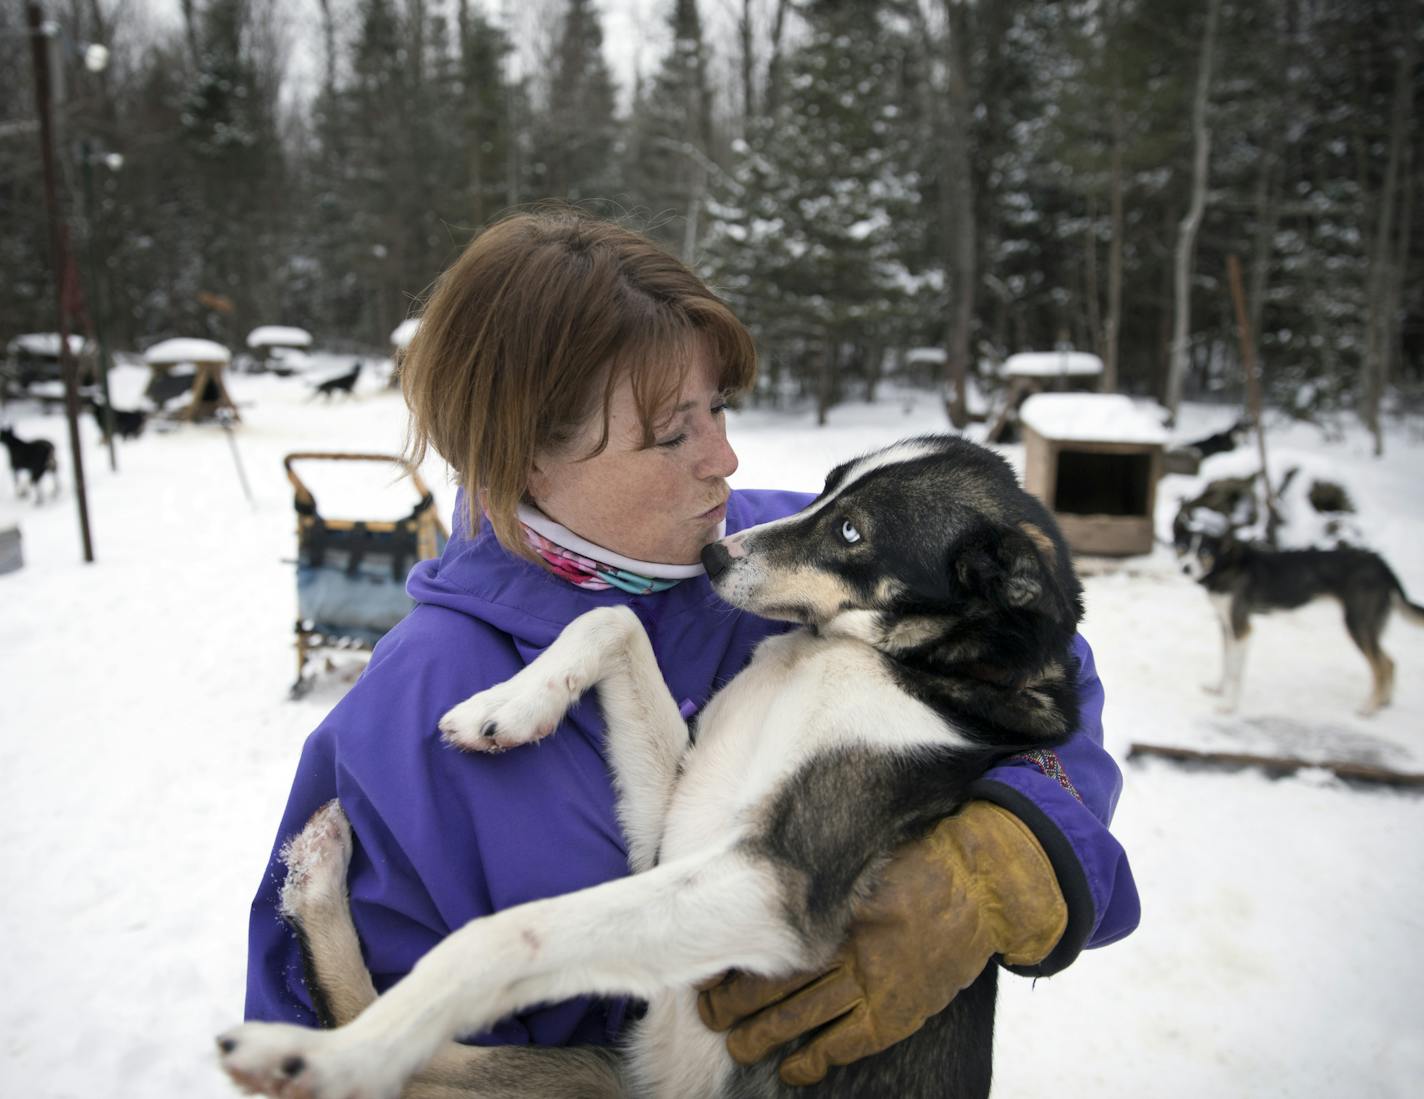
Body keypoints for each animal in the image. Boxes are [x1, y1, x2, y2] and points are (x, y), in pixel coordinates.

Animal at [216, 435, 1082, 1099]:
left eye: (850, 532)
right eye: (827, 484)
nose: (712, 552)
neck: (871, 657)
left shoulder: (772, 883)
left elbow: (507, 936)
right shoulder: (673, 823)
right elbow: (612, 618)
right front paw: (510, 704)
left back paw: (317, 1053)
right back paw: (313, 889)